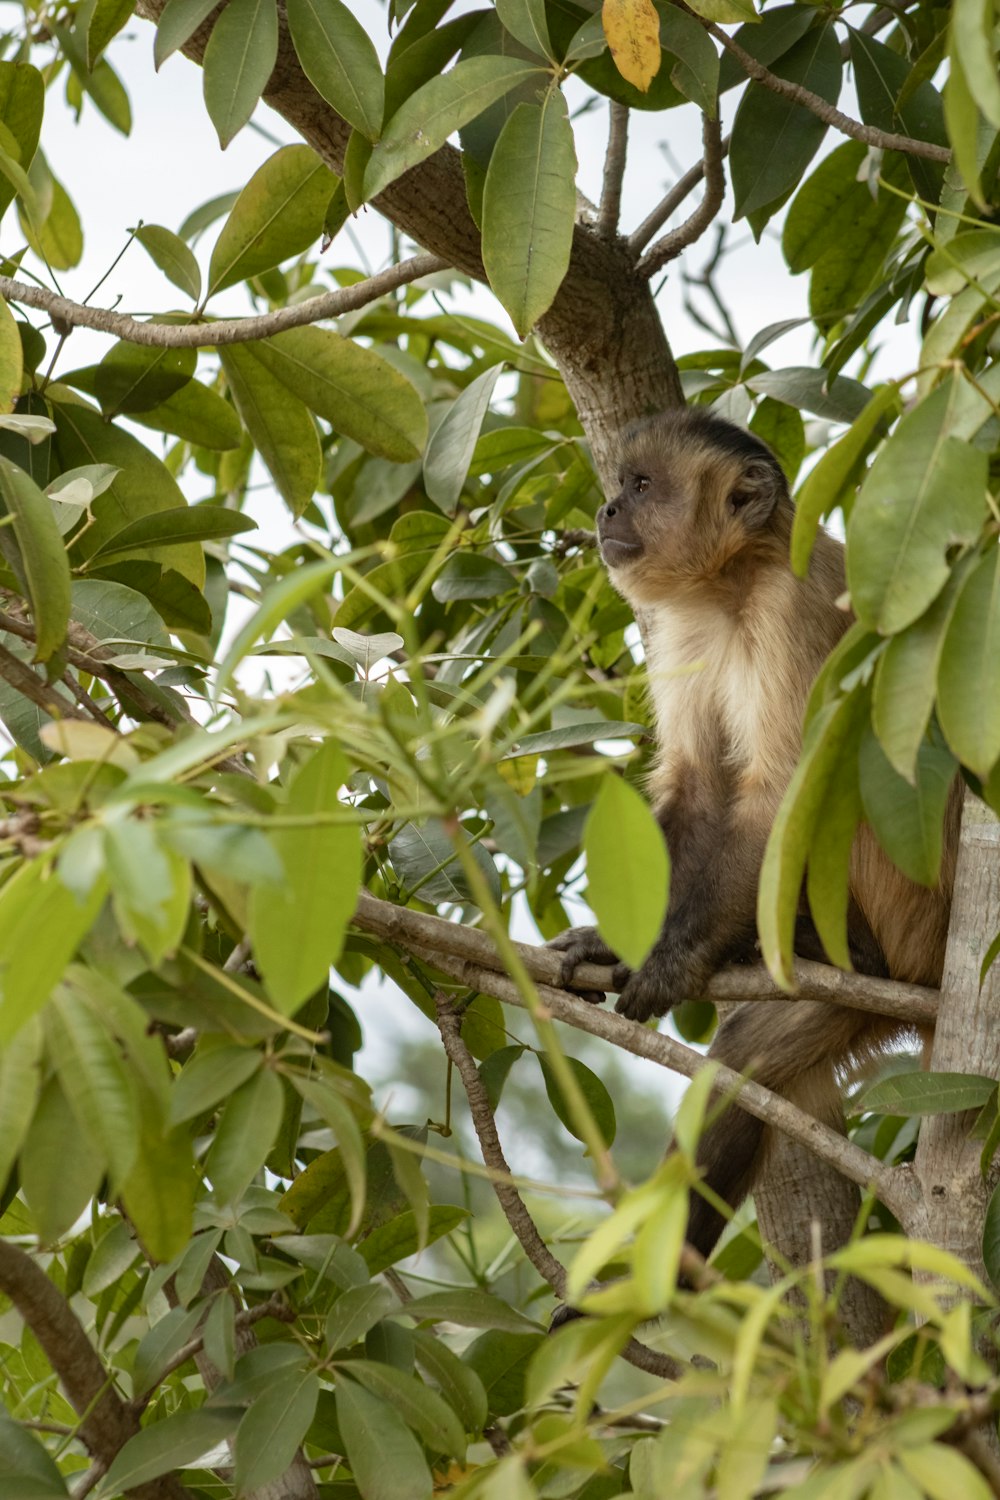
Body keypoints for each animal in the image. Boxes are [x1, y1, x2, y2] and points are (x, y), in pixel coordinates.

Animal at [548, 405, 959, 1260]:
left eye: (642, 486)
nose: (606, 510)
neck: (731, 586)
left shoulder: (790, 607)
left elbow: (778, 797)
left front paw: (671, 956)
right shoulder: (680, 633)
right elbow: (697, 788)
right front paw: (614, 941)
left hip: (907, 917)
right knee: (742, 1064)